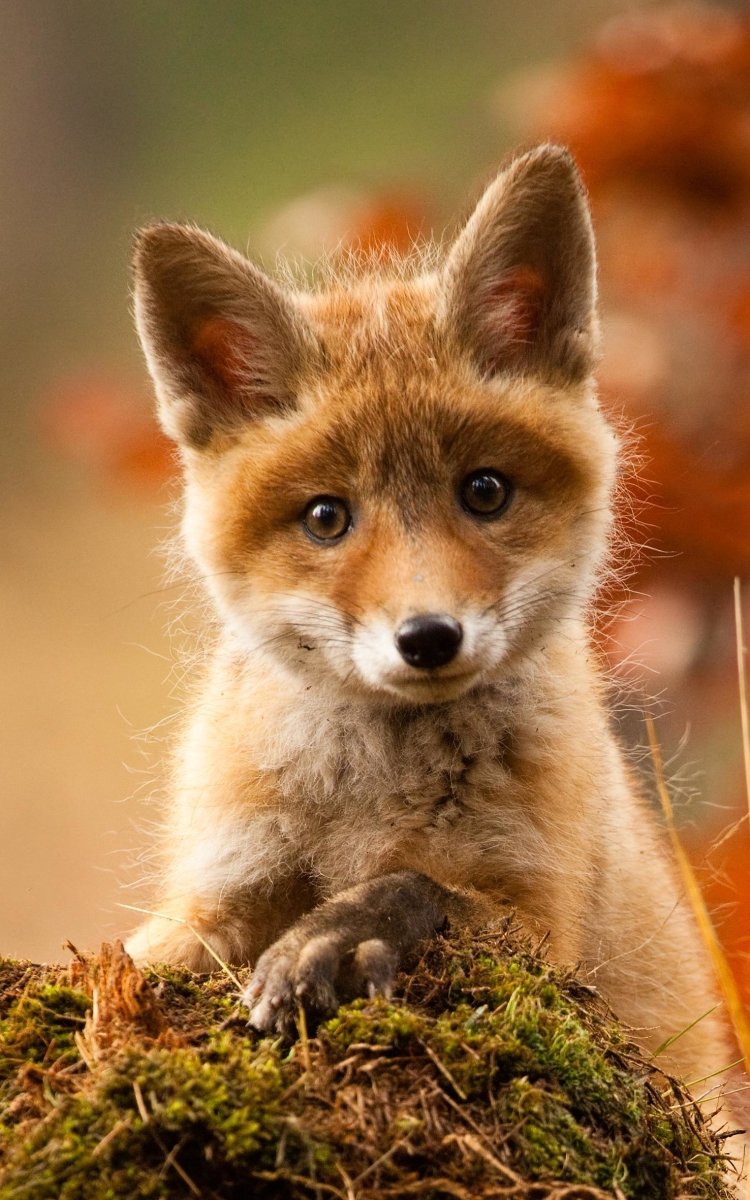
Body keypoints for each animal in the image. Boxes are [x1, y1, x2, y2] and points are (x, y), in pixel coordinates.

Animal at [126, 144, 744, 1151]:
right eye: (327, 517)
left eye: (483, 491)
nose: (427, 638)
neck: (368, 797)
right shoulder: (217, 890)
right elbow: (136, 959)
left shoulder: (543, 927)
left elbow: (421, 889)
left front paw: (336, 938)